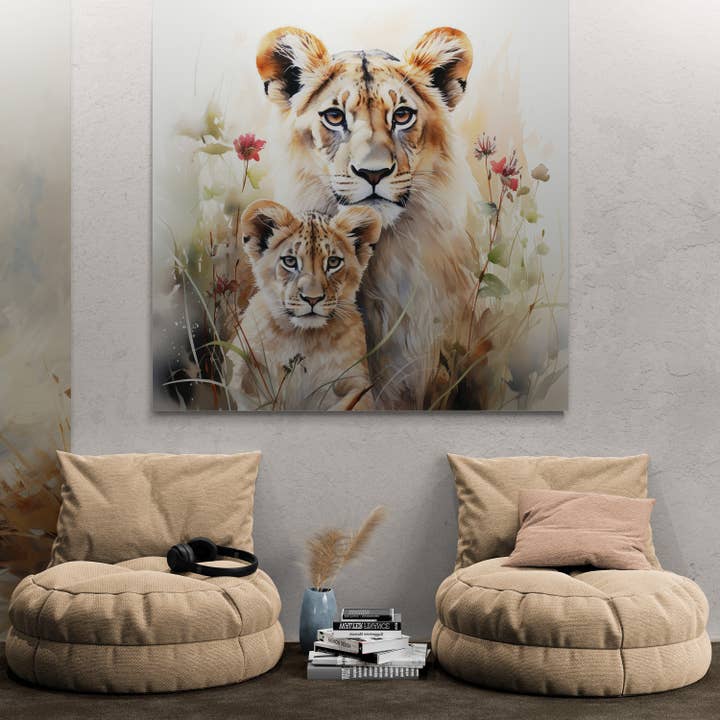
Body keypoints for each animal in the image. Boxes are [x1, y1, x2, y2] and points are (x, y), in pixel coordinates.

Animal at [228, 199, 382, 411]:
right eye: (290, 261)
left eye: (333, 262)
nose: (312, 299)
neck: (302, 337)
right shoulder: (242, 374)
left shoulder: (357, 380)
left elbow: (351, 402)